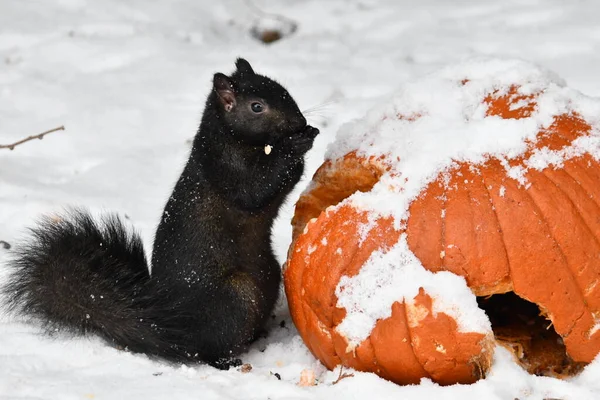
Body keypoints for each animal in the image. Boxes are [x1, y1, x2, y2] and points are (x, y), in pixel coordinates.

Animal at [3, 58, 318, 368]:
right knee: (207, 349)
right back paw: (225, 359)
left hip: (269, 274)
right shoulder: (226, 169)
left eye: (282, 89)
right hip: (235, 296)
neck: (233, 139)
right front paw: (296, 144)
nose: (300, 122)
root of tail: (172, 329)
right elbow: (255, 191)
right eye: (256, 106)